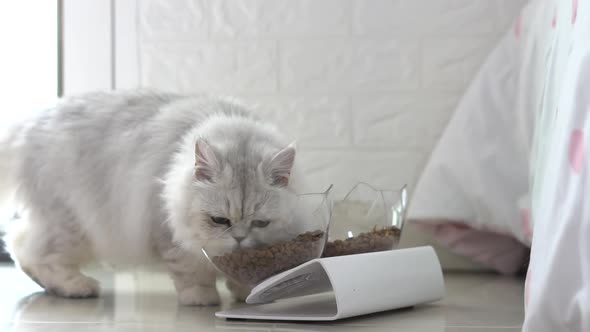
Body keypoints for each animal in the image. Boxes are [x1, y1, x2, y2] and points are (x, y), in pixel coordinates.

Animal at [0, 89, 310, 304]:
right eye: (219, 220)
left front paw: (246, 293)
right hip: (71, 225)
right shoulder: (167, 231)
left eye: (260, 223)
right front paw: (201, 298)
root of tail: (27, 124)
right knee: (28, 250)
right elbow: (190, 272)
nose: (239, 239)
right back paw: (76, 287)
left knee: (21, 245)